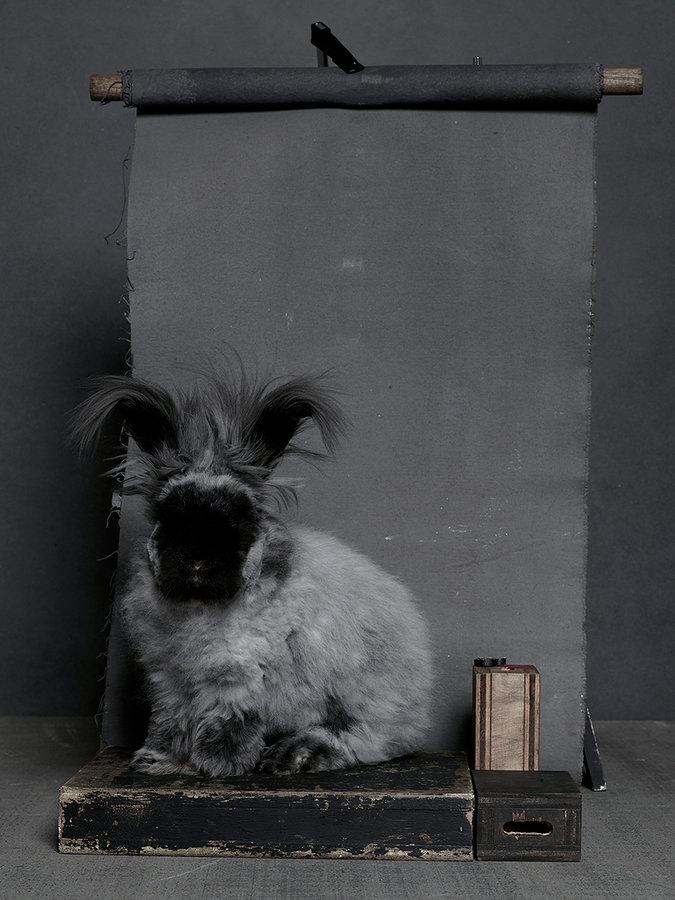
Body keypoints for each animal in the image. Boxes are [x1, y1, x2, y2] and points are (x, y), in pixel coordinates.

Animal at [72, 371, 433, 777]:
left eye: (241, 518)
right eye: (167, 517)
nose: (198, 559)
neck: (200, 607)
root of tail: (420, 707)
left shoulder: (239, 676)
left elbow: (228, 721)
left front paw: (218, 765)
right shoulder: (170, 680)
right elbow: (170, 722)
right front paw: (157, 760)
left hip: (365, 701)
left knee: (363, 739)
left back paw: (296, 754)